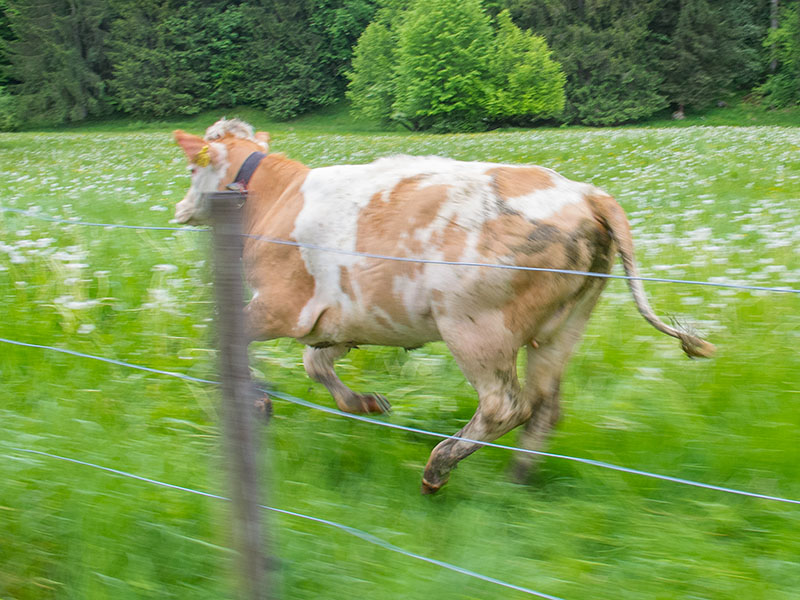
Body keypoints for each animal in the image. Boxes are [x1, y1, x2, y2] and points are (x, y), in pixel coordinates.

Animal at [173, 117, 712, 492]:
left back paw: (440, 466)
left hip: (476, 328)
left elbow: (224, 340)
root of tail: (586, 193)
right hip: (562, 329)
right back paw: (515, 481)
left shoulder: (280, 307)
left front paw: (257, 401)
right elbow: (314, 363)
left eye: (193, 168)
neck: (272, 197)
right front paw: (364, 403)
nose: (180, 208)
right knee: (545, 408)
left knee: (506, 405)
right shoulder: (345, 318)